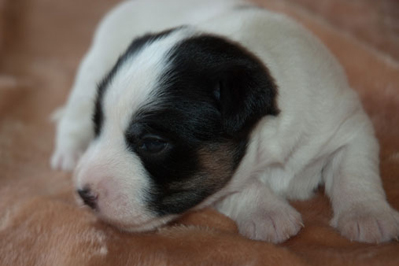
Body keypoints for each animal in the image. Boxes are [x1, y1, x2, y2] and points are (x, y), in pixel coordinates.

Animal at [51, 0, 399, 243]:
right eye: (99, 126)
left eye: (151, 143)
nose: (84, 193)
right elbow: (237, 187)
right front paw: (268, 213)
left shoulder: (347, 125)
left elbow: (355, 170)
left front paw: (368, 215)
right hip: (95, 64)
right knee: (74, 112)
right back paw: (69, 152)